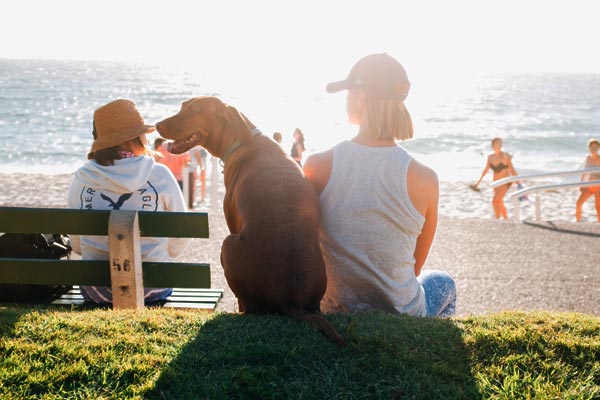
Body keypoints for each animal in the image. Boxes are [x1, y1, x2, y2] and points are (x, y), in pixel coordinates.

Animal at [155, 98, 344, 346]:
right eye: (182, 106)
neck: (242, 140)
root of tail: (290, 299)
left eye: (193, 112)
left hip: (228, 244)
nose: (157, 125)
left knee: (249, 306)